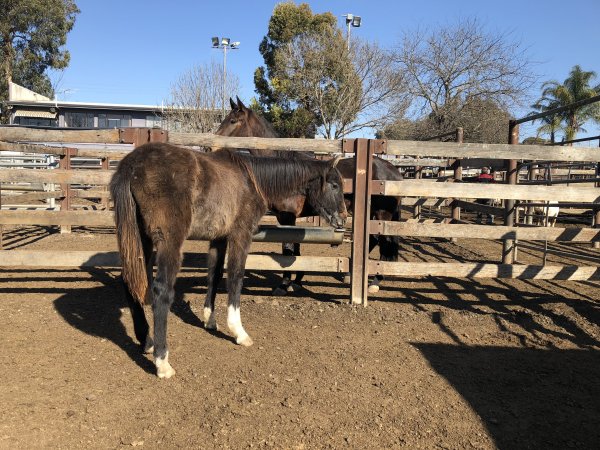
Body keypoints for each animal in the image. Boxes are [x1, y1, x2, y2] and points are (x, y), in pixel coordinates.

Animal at [111, 142, 346, 378]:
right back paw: (162, 362)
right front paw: (238, 331)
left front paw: (210, 320)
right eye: (335, 185)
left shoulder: (219, 238)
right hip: (168, 241)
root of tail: (133, 164)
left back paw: (146, 341)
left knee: (130, 280)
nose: (343, 219)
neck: (252, 180)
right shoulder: (241, 234)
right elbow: (235, 277)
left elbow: (214, 276)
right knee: (160, 289)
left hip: (141, 240)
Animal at [216, 98, 404, 294]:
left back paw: (375, 282)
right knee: (375, 240)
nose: (213, 143)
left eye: (232, 120)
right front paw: (297, 280)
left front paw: (285, 284)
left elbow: (288, 248)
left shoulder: (287, 217)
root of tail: (394, 171)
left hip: (383, 215)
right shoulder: (287, 218)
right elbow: (295, 247)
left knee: (384, 240)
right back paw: (351, 275)